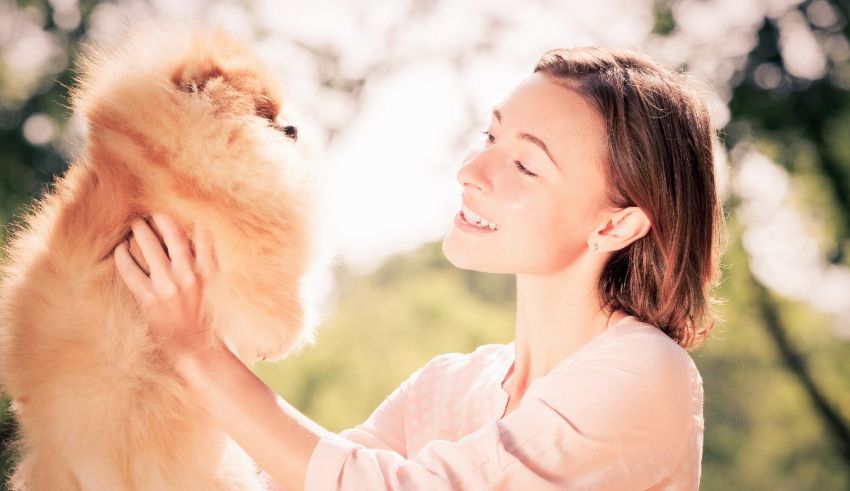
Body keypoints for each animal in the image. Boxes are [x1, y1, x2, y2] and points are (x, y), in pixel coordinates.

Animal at [0, 25, 324, 490]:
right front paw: (278, 339)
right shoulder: (237, 225)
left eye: (280, 114)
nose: (293, 127)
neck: (160, 153)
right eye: (265, 114)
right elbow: (269, 282)